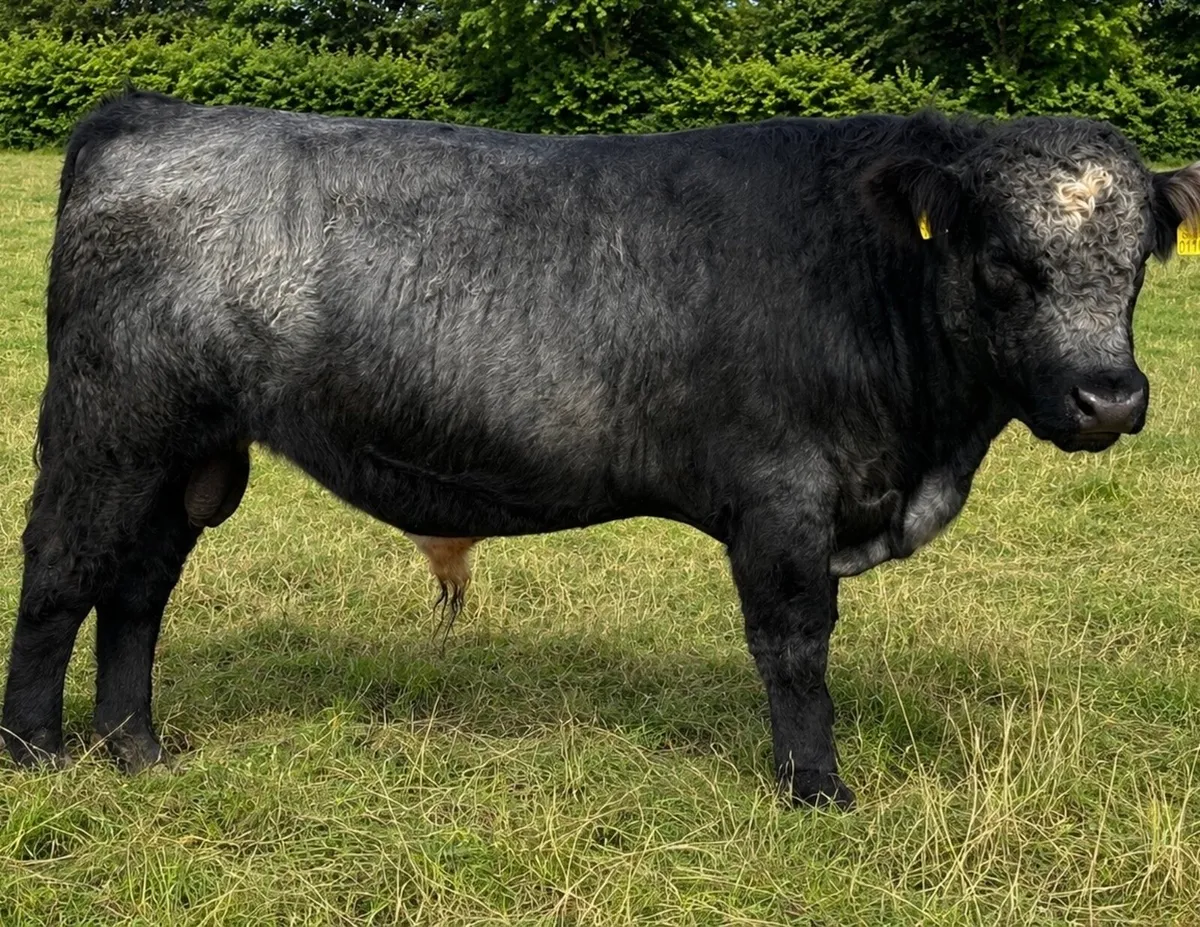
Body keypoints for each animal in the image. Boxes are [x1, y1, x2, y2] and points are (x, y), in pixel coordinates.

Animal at [3, 92, 1198, 808]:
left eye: (1140, 256)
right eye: (1003, 264)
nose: (1109, 397)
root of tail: (153, 112)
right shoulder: (782, 499)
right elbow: (795, 646)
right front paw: (817, 791)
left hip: (188, 457)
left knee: (138, 591)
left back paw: (138, 750)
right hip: (106, 430)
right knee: (60, 578)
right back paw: (36, 753)